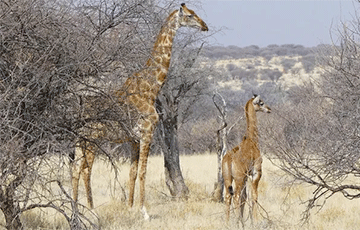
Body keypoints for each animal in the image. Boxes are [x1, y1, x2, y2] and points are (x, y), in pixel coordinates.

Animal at [70, 3, 208, 219]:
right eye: (189, 15)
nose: (205, 26)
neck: (150, 88)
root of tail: (78, 111)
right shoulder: (146, 133)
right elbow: (143, 172)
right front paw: (145, 212)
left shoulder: (134, 139)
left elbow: (132, 172)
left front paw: (129, 208)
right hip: (90, 139)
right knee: (81, 169)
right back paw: (85, 211)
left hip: (81, 140)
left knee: (77, 168)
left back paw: (77, 210)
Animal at [222, 94, 270, 226]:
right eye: (261, 103)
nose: (269, 109)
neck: (252, 140)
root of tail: (228, 159)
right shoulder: (256, 173)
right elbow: (254, 196)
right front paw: (255, 221)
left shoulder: (246, 176)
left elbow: (245, 198)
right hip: (238, 178)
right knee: (236, 197)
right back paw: (237, 223)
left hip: (228, 178)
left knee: (228, 197)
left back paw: (228, 223)